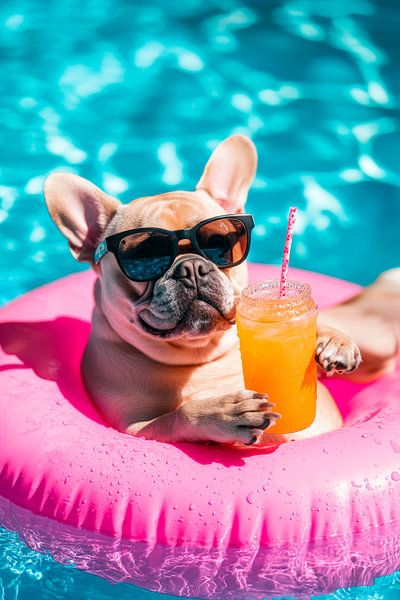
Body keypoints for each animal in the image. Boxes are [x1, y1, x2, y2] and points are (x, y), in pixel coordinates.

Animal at [44, 136, 362, 446]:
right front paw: (222, 412)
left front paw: (332, 339)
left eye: (220, 243)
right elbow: (177, 416)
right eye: (145, 256)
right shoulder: (137, 429)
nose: (192, 267)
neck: (198, 356)